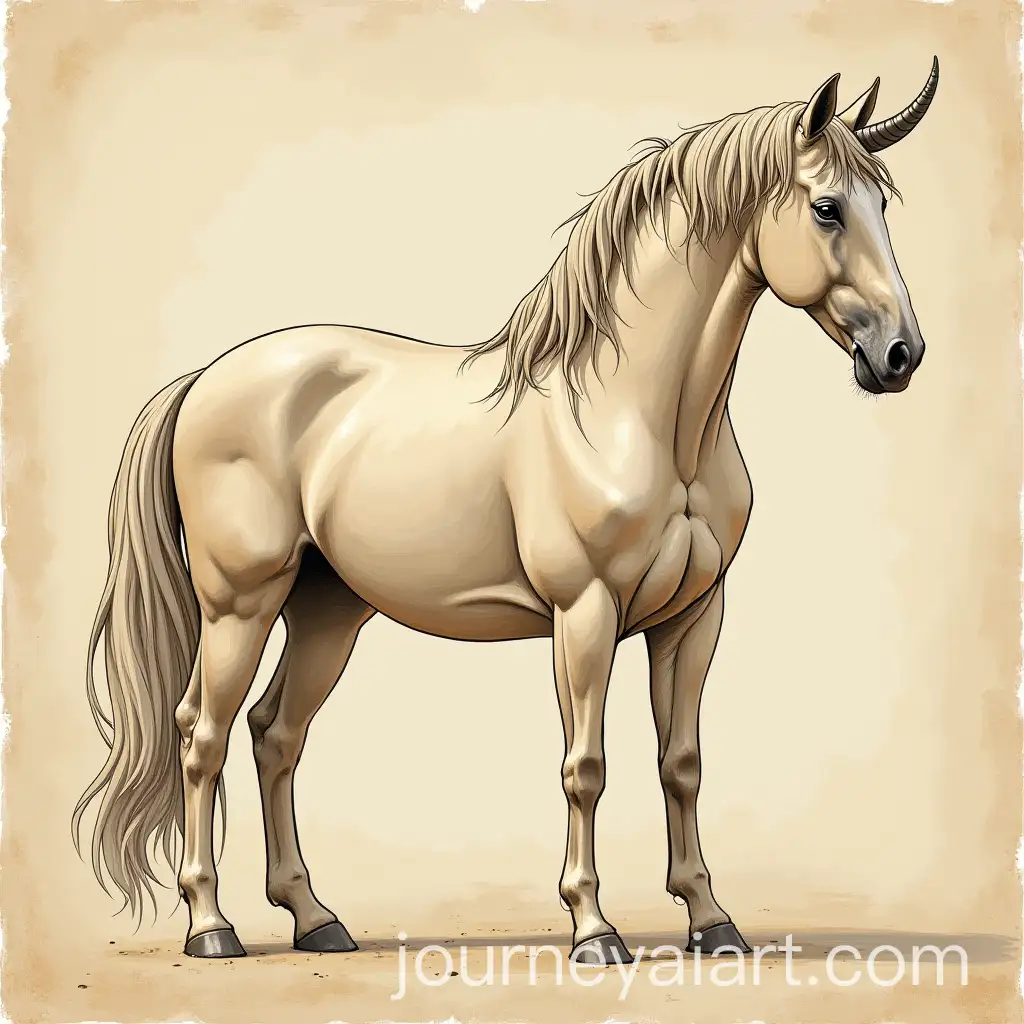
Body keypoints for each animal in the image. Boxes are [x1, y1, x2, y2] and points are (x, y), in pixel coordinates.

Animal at [73, 59, 939, 965]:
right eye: (827, 208)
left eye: (883, 205)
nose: (901, 354)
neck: (635, 413)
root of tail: (204, 379)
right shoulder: (585, 612)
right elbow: (585, 767)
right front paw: (594, 930)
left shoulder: (694, 616)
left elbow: (682, 762)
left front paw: (712, 921)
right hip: (239, 605)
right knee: (199, 736)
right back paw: (212, 927)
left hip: (326, 612)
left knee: (276, 734)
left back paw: (316, 920)